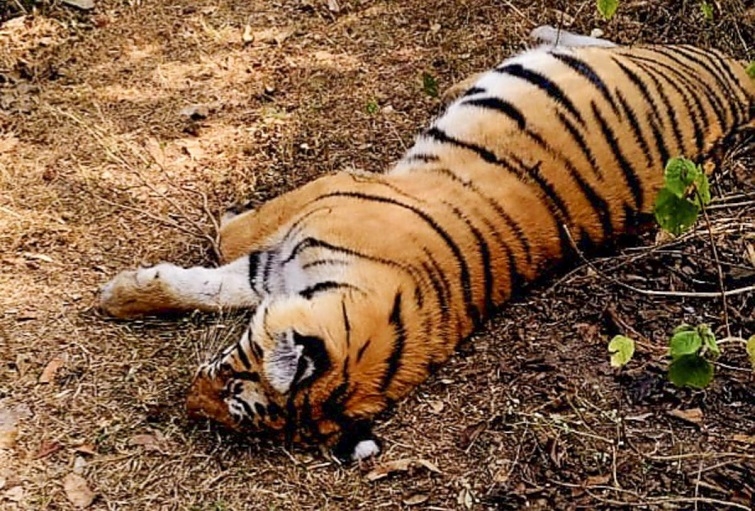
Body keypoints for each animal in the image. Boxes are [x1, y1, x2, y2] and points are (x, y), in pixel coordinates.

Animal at [99, 26, 755, 462]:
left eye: (234, 400)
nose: (186, 404)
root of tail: (741, 79)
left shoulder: (299, 232)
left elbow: (224, 260)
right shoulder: (291, 245)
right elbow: (211, 277)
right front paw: (124, 297)